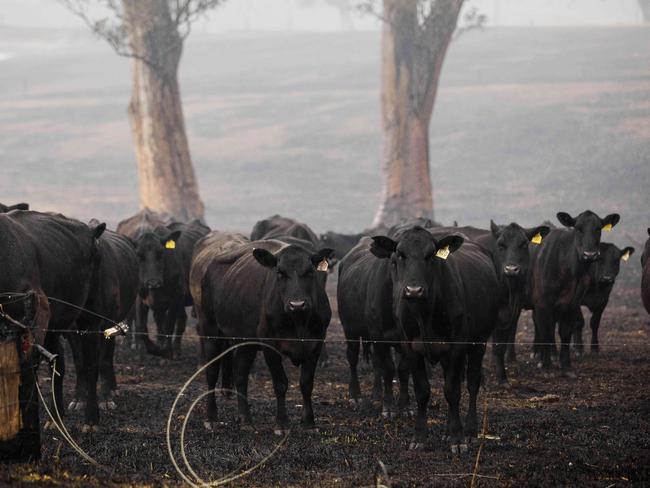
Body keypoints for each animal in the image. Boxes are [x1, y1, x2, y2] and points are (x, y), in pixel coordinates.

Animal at [66, 222, 138, 430]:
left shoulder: (106, 323)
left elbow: (102, 360)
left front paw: (105, 399)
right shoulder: (71, 329)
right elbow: (80, 362)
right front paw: (79, 398)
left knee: (107, 357)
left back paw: (112, 389)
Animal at [195, 238, 332, 432]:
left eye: (309, 271)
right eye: (280, 273)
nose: (297, 304)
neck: (298, 322)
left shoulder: (316, 343)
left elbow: (306, 384)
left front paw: (309, 422)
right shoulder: (270, 344)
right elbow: (280, 383)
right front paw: (282, 423)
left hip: (246, 342)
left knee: (240, 375)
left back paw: (245, 418)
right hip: (211, 331)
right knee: (212, 372)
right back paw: (212, 417)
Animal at [528, 210, 616, 374]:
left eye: (599, 229)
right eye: (578, 228)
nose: (590, 255)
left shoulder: (572, 304)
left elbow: (565, 332)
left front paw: (566, 364)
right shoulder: (543, 303)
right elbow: (547, 331)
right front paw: (546, 365)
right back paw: (538, 354)